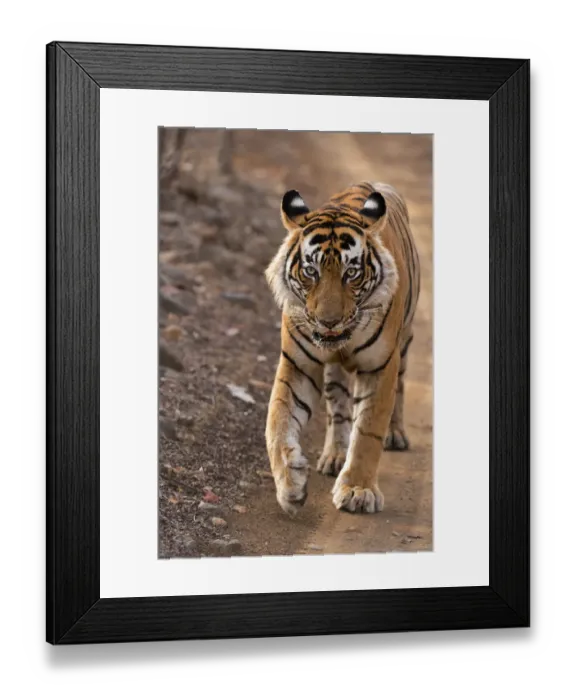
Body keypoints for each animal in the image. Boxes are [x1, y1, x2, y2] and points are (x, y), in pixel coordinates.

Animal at [264, 181, 420, 516]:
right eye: (311, 271)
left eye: (352, 273)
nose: (329, 322)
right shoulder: (297, 364)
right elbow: (278, 422)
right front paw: (290, 485)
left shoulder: (380, 367)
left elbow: (368, 432)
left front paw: (358, 490)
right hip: (334, 371)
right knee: (337, 407)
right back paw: (334, 455)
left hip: (404, 342)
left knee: (400, 387)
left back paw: (395, 434)